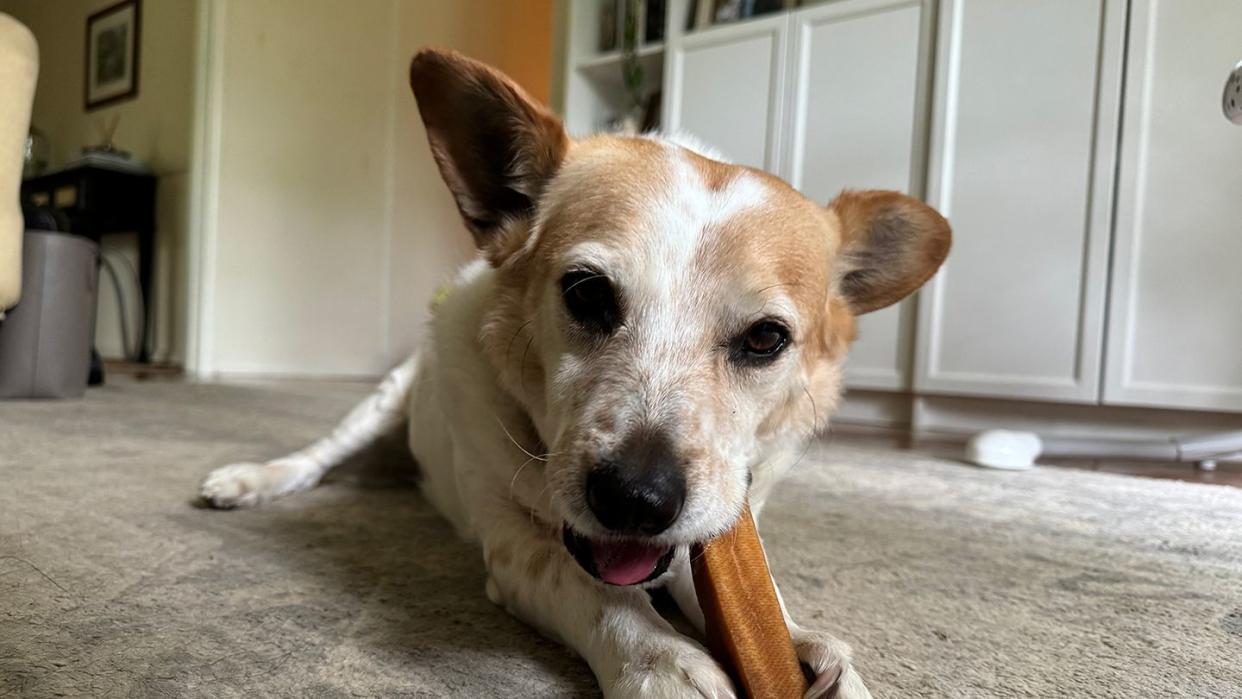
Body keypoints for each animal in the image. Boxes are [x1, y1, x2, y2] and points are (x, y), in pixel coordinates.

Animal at [198, 50, 948, 699]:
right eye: (587, 294)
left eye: (766, 339)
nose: (636, 501)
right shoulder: (513, 547)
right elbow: (595, 592)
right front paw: (666, 664)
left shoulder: (708, 539)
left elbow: (761, 603)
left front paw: (809, 650)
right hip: (383, 403)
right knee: (317, 457)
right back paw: (248, 481)